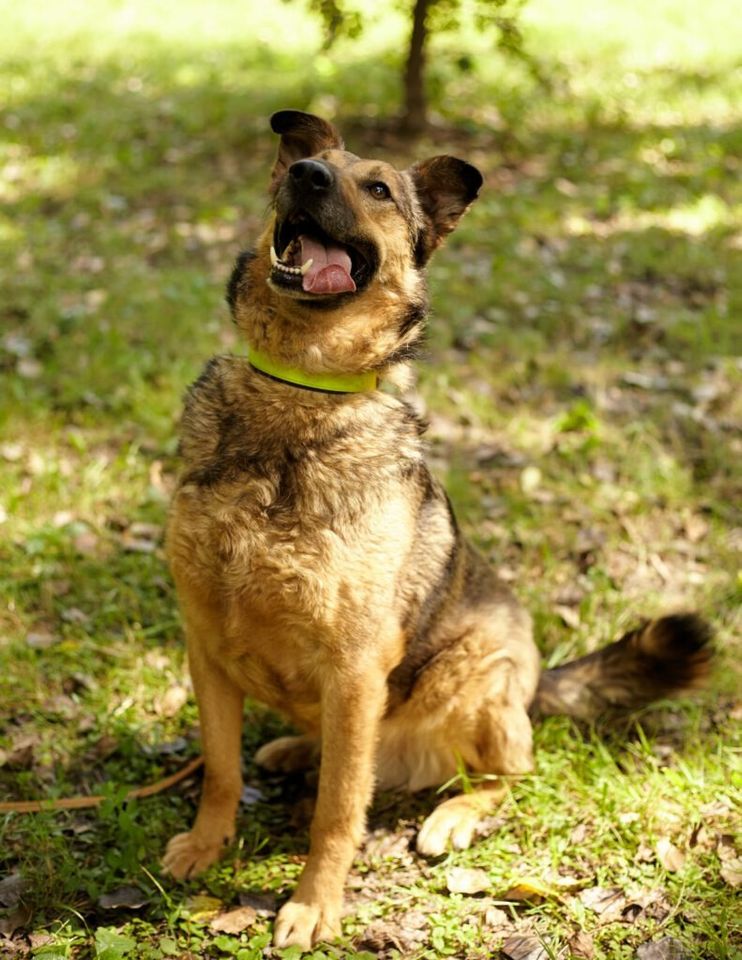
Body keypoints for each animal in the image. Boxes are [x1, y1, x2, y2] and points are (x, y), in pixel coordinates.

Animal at [164, 109, 716, 948]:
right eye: (307, 167)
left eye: (379, 189)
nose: (307, 177)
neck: (301, 390)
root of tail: (536, 680)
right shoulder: (208, 646)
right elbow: (221, 771)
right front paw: (206, 844)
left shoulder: (356, 667)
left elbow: (336, 813)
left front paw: (313, 904)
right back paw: (295, 746)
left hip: (477, 673)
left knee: (505, 774)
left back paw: (451, 815)